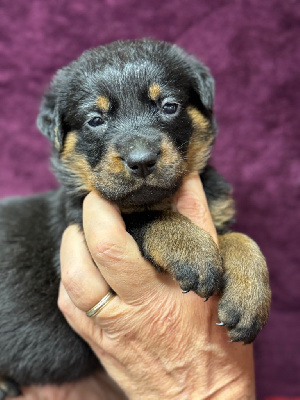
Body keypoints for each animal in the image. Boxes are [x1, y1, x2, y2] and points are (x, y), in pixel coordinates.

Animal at [0, 39, 270, 398]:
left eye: (169, 106)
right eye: (95, 119)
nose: (141, 161)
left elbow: (242, 239)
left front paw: (249, 294)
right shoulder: (81, 231)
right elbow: (148, 219)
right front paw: (193, 249)